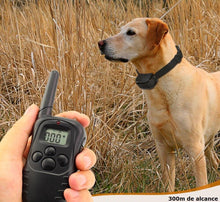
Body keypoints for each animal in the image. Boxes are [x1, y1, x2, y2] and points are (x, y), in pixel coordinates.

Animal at [98, 17, 220, 191]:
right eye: (120, 30)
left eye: (131, 32)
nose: (100, 43)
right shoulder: (163, 148)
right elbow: (168, 185)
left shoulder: (195, 149)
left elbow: (201, 182)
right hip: (208, 138)